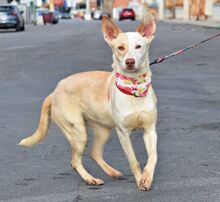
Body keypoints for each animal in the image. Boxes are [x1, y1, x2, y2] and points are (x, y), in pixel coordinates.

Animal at [18, 13, 157, 191]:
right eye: (120, 48)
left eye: (139, 46)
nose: (130, 62)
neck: (134, 88)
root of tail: (54, 92)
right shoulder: (123, 133)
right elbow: (134, 161)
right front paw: (140, 180)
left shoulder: (150, 130)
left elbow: (153, 157)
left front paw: (146, 177)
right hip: (78, 132)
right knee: (75, 161)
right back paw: (90, 179)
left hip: (102, 130)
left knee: (94, 153)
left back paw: (112, 172)